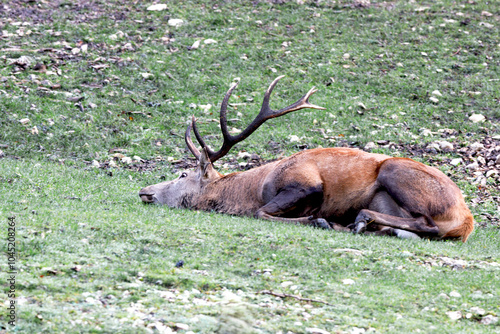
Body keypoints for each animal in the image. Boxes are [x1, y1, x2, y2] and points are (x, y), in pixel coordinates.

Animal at [139, 77, 474, 241]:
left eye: (182, 174)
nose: (144, 191)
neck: (251, 189)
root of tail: (467, 221)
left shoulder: (305, 182)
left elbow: (261, 213)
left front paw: (319, 220)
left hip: (397, 171)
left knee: (428, 223)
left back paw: (360, 220)